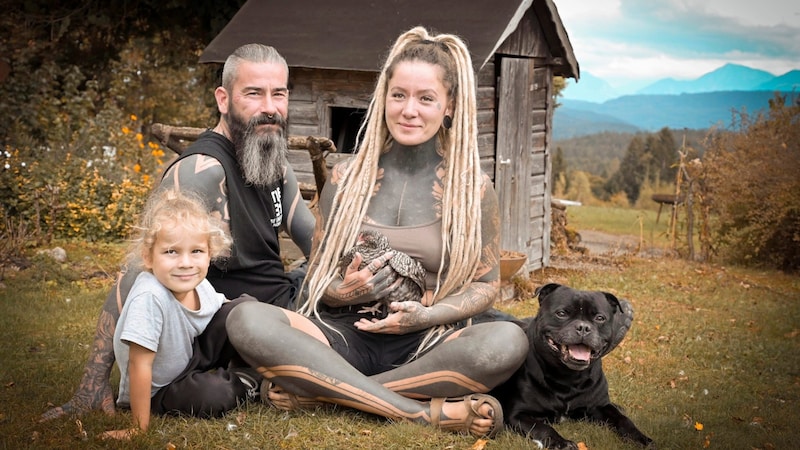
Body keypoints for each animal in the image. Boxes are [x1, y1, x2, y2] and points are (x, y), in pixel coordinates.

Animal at [490, 284, 652, 448]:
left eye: (599, 318)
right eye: (561, 313)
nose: (583, 327)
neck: (568, 377)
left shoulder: (600, 406)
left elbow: (623, 419)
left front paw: (640, 438)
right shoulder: (518, 414)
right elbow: (543, 427)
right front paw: (561, 443)